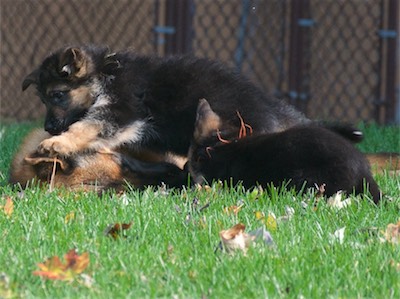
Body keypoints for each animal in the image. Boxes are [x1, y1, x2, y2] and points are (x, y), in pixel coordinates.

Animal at [20, 45, 312, 159]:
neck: (105, 74)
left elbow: (86, 126)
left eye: (58, 95)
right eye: (43, 100)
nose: (48, 128)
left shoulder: (121, 109)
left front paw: (58, 143)